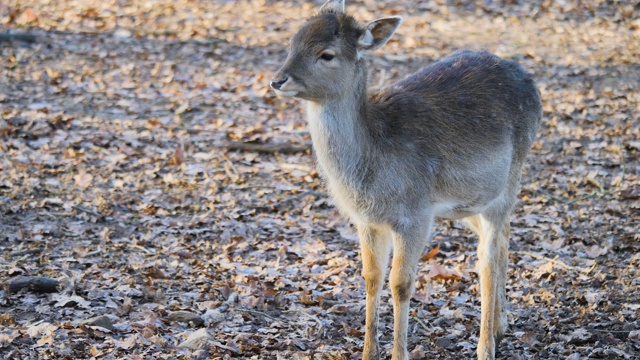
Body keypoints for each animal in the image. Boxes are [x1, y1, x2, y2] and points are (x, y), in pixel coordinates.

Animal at [268, 1, 540, 358]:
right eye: (293, 41)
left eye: (326, 54)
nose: (278, 80)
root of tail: (532, 84)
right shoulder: (368, 220)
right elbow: (371, 276)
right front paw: (368, 352)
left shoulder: (415, 215)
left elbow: (400, 283)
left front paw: (399, 352)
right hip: (471, 200)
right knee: (501, 239)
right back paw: (500, 324)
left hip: (509, 180)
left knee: (488, 257)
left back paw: (486, 346)